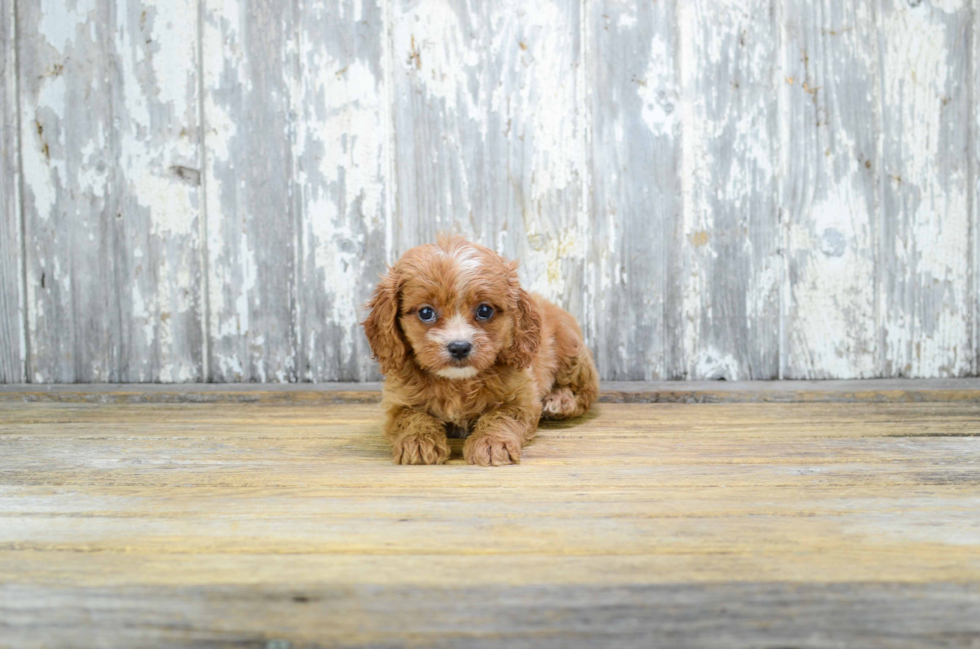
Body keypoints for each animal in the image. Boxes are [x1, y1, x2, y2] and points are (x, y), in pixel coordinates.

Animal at [364, 233, 600, 466]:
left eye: (484, 310)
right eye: (425, 313)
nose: (459, 347)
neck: (458, 382)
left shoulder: (522, 398)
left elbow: (500, 416)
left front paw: (491, 443)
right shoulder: (397, 402)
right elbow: (411, 416)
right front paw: (418, 442)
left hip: (570, 351)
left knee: (586, 390)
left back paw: (560, 401)